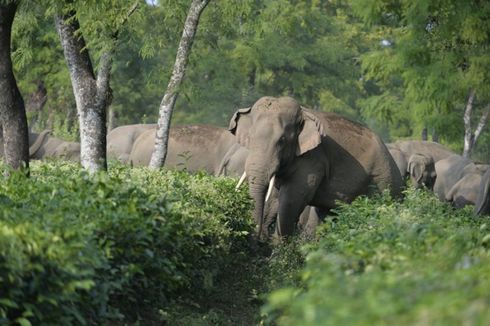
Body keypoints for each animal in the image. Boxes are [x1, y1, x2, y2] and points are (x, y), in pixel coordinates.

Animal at [230, 95, 402, 238]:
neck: (304, 113)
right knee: (325, 215)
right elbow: (275, 198)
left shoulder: (313, 159)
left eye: (282, 141)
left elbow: (291, 200)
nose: (256, 239)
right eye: (250, 138)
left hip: (384, 182)